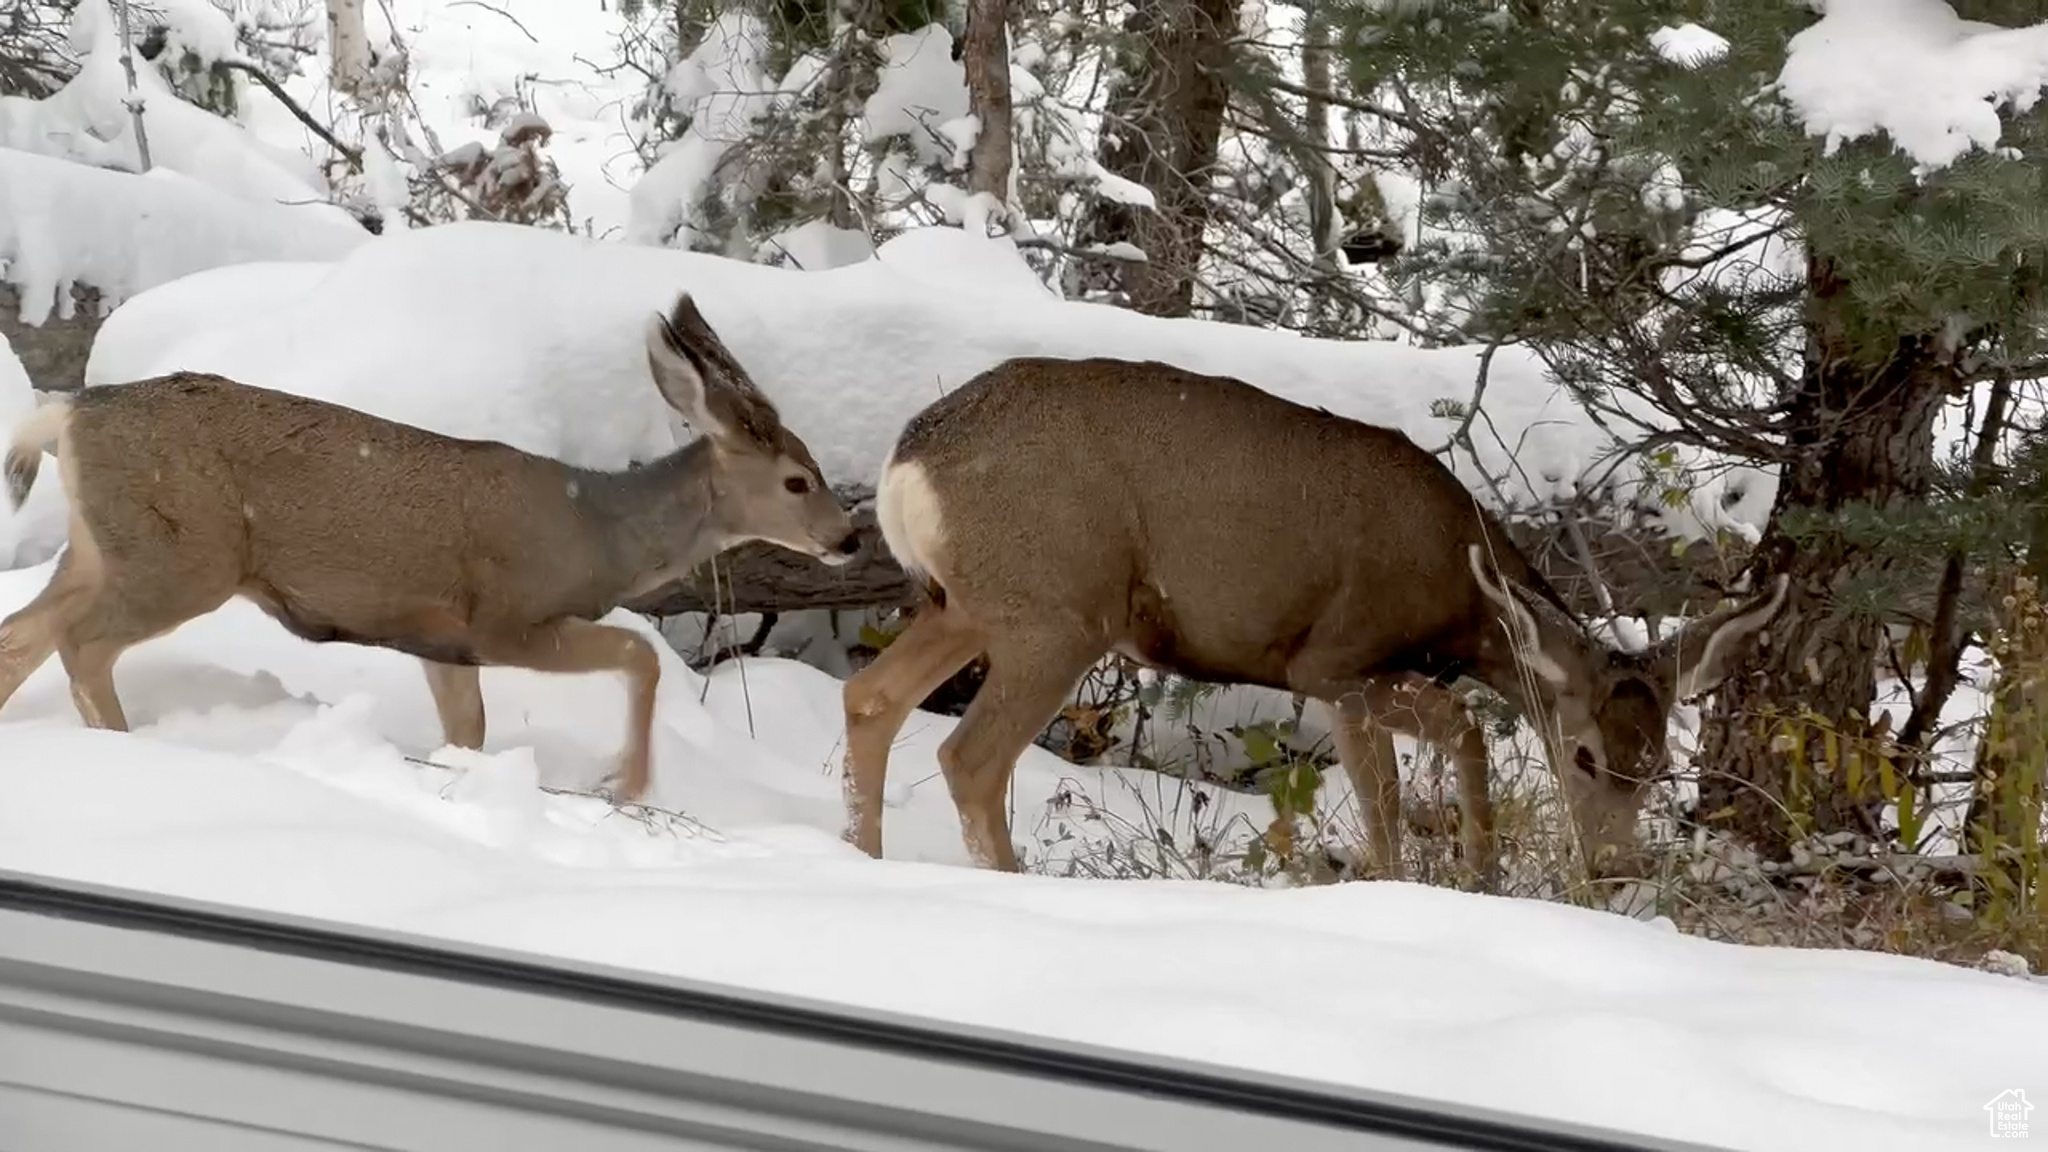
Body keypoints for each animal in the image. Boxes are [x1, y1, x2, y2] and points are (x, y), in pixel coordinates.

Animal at [0, 291, 856, 803]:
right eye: (795, 480)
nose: (848, 538)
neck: (598, 532)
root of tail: (67, 412)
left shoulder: (439, 639)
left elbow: (468, 732)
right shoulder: (504, 618)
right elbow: (640, 654)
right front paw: (627, 785)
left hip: (105, 546)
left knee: (26, 630)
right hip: (183, 556)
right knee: (81, 644)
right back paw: (126, 748)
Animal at [839, 358, 1785, 877]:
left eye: (1658, 766)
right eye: (1584, 755)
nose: (1615, 869)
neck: (1459, 591)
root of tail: (907, 460)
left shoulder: (1350, 677)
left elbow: (1436, 751)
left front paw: (1477, 875)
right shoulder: (1333, 661)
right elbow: (1421, 772)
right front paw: (1459, 880)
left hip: (968, 602)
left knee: (870, 697)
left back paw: (861, 859)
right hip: (1055, 610)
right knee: (969, 756)